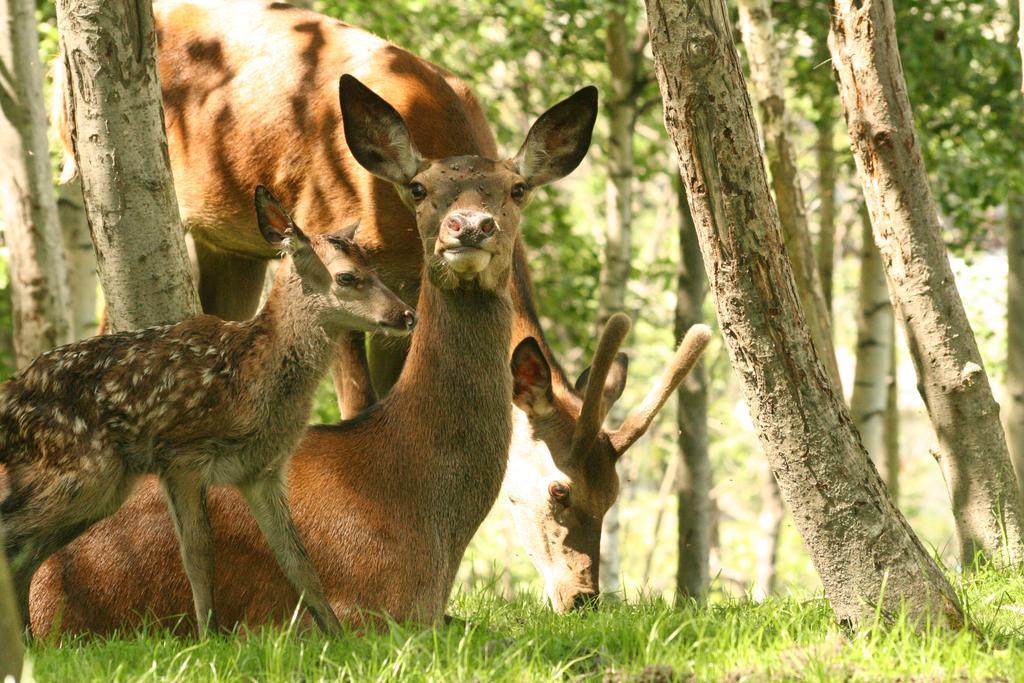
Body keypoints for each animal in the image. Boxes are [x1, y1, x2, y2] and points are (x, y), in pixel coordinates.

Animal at [3, 187, 415, 634]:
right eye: (347, 277)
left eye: (375, 268)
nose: (407, 314)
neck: (251, 380)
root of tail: (11, 399)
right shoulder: (180, 454)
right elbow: (198, 553)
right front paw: (207, 637)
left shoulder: (261, 471)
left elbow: (297, 560)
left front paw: (337, 636)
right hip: (83, 468)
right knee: (14, 538)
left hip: (103, 485)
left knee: (24, 556)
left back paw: (29, 641)